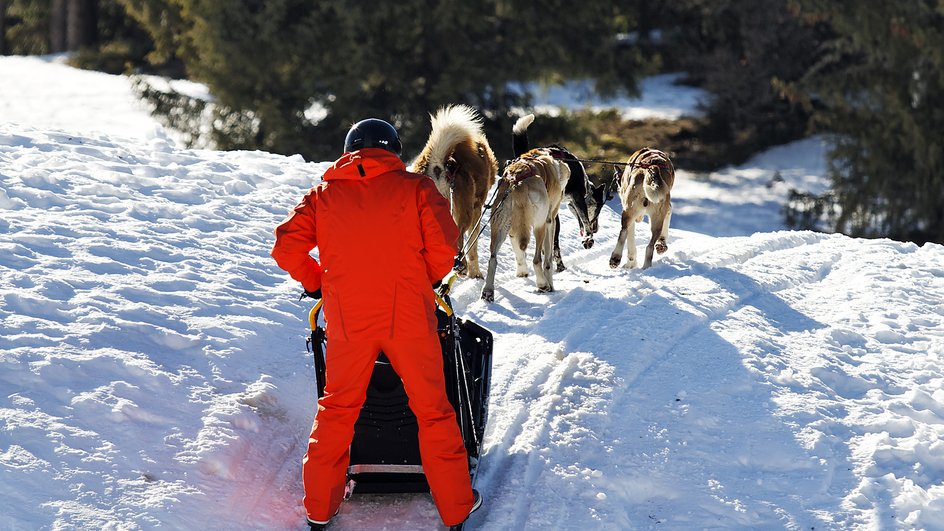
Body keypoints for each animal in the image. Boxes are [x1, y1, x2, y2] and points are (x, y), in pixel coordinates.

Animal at [412, 104, 502, 278]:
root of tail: (438, 165)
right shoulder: (476, 209)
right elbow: (472, 245)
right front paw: (475, 273)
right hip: (464, 211)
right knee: (459, 239)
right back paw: (462, 267)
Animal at [512, 115, 600, 272]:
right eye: (598, 211)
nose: (596, 229)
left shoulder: (555, 213)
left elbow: (554, 243)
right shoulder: (578, 198)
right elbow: (585, 222)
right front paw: (588, 239)